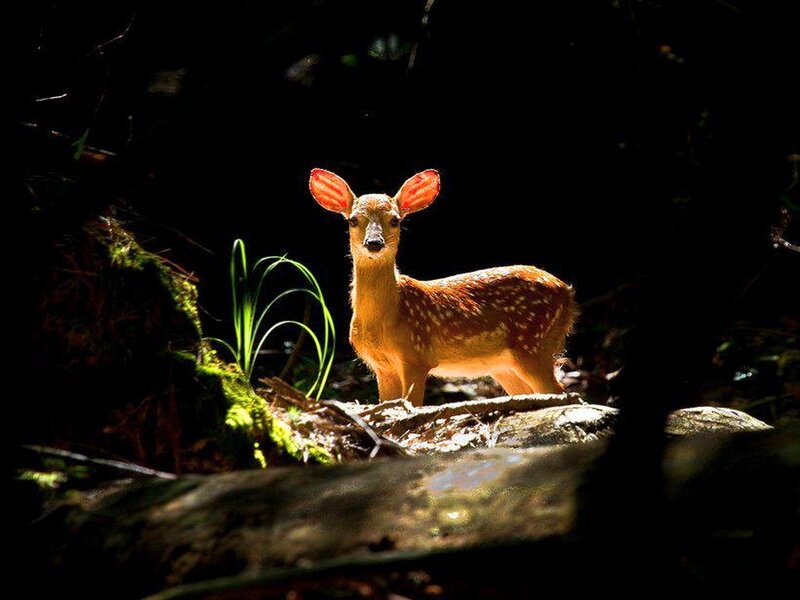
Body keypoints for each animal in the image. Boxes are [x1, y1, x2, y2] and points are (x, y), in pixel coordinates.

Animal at [309, 168, 577, 406]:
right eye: (353, 220)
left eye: (395, 220)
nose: (374, 243)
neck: (386, 317)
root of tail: (567, 292)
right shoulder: (381, 366)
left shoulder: (416, 356)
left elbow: (411, 404)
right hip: (505, 365)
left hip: (534, 342)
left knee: (559, 390)